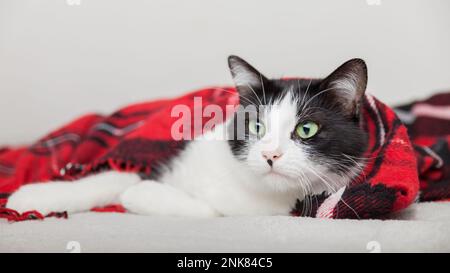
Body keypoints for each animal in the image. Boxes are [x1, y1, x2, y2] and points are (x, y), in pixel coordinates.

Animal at [5, 55, 368, 217]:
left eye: (307, 129)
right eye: (256, 126)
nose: (270, 155)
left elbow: (208, 211)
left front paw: (138, 195)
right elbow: (115, 177)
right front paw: (31, 197)